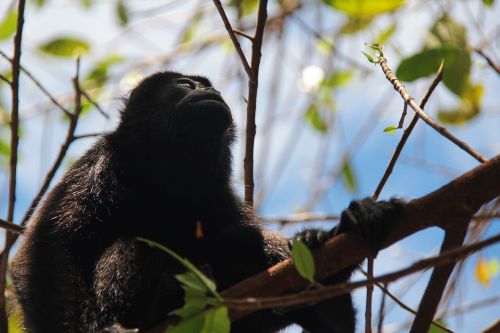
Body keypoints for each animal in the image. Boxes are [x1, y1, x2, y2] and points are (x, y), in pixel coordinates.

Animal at [10, 72, 402, 332]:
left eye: (207, 85)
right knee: (135, 246)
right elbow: (52, 248)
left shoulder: (219, 193)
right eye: (185, 85)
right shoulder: (101, 163)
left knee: (247, 241)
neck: (170, 175)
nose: (210, 89)